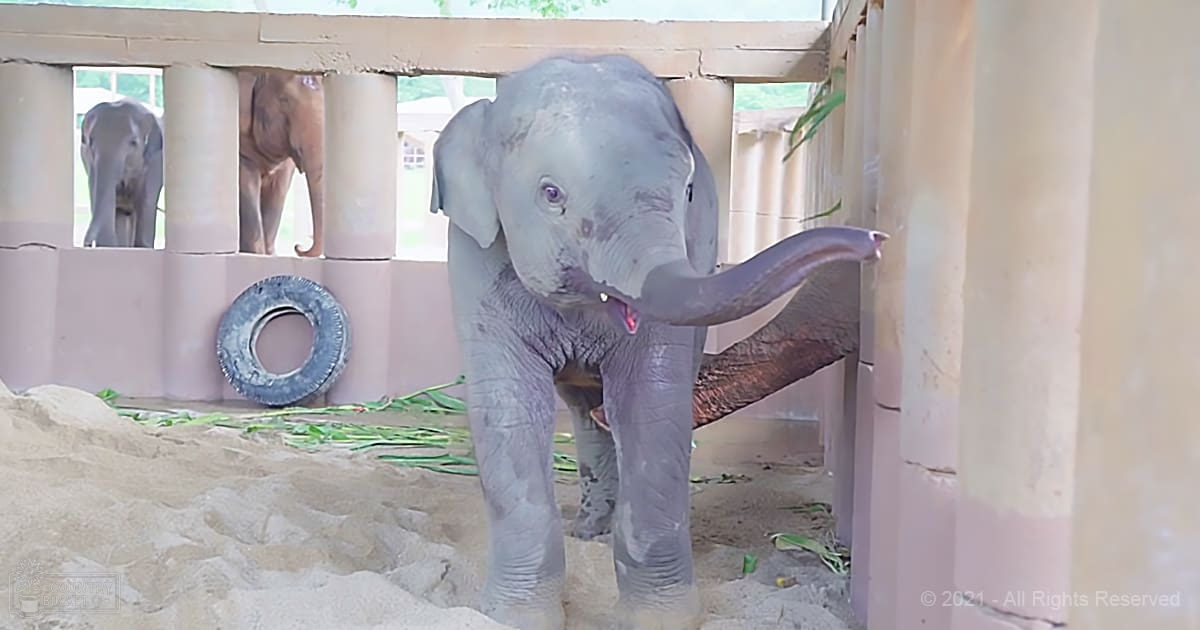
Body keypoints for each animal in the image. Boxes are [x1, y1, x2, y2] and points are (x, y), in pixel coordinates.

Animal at [80, 99, 164, 248]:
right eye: (90, 142)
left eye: (133, 143)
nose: (89, 243)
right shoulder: (89, 164)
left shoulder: (155, 162)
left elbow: (146, 202)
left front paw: (142, 247)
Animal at [429, 53, 886, 630]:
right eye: (551, 194)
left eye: (687, 193)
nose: (874, 240)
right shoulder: (476, 259)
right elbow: (507, 408)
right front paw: (512, 618)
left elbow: (649, 403)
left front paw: (659, 618)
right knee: (581, 411)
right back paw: (590, 531)